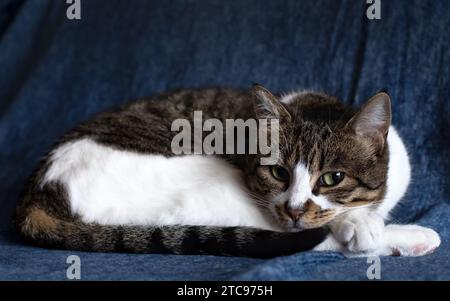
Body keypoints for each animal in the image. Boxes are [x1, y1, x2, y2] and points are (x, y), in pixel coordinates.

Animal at [13, 85, 440, 258]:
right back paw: (411, 237)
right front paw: (360, 226)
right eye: (278, 173)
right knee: (296, 241)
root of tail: (38, 189)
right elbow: (336, 229)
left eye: (332, 178)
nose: (294, 210)